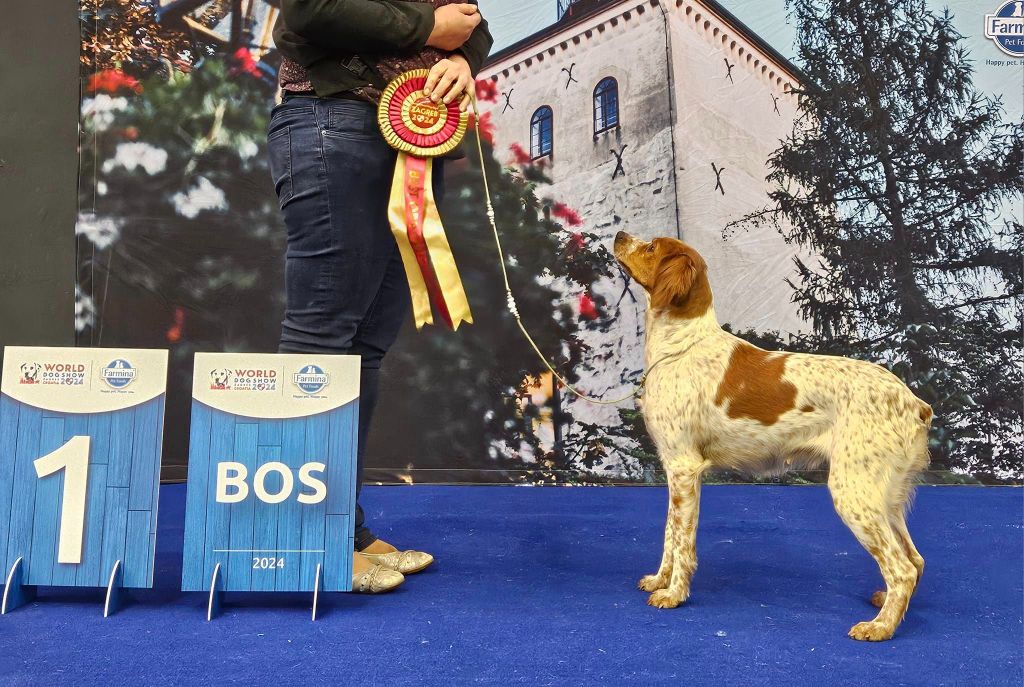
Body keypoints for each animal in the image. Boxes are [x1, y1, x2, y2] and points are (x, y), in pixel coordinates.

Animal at [610, 232, 933, 647]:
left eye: (651, 248)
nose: (620, 236)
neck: (681, 346)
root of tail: (915, 403)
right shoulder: (675, 470)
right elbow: (670, 534)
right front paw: (659, 580)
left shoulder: (684, 467)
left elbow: (682, 541)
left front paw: (674, 594)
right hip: (884, 496)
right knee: (915, 559)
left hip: (854, 492)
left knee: (902, 568)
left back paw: (879, 627)